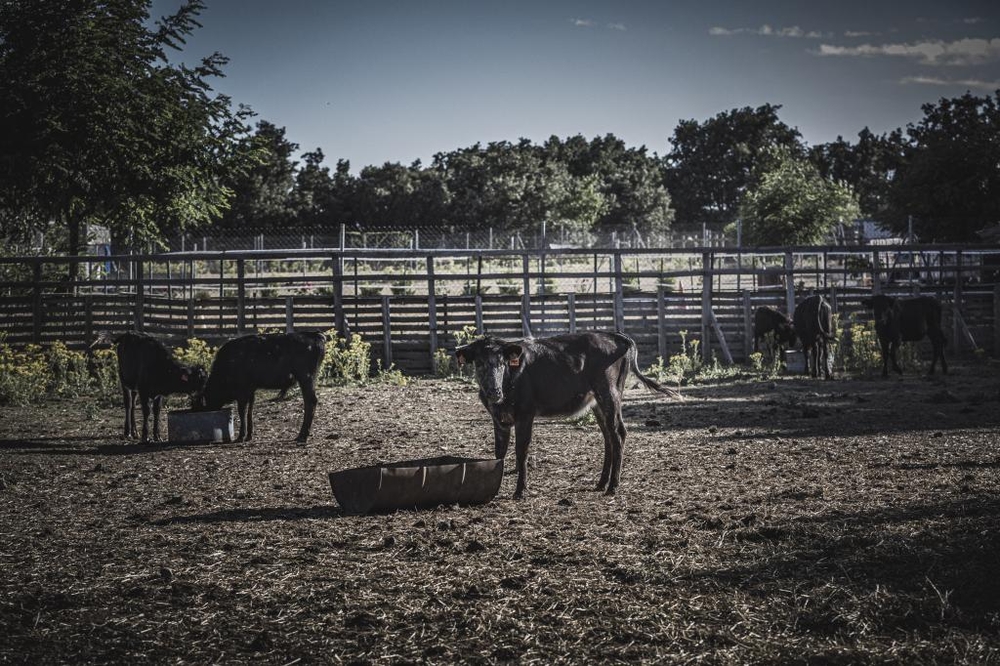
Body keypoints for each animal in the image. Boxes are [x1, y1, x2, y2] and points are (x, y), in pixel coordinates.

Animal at [191, 330, 324, 440]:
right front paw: (249, 435)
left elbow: (242, 411)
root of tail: (315, 335)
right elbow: (250, 410)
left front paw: (241, 436)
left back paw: (302, 436)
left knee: (311, 401)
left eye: (200, 406)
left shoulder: (243, 392)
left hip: (306, 378)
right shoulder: (251, 390)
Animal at [456, 330, 680, 496]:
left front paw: (520, 490)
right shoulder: (498, 418)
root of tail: (614, 335)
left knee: (618, 433)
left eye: (502, 363)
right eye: (479, 363)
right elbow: (499, 452)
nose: (494, 392)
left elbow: (522, 450)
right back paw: (601, 482)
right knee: (608, 436)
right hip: (597, 402)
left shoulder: (526, 414)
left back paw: (612, 486)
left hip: (610, 394)